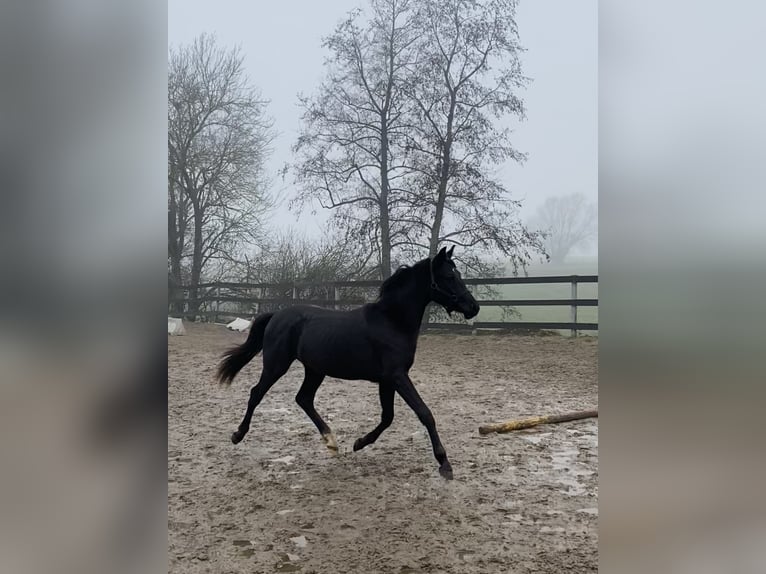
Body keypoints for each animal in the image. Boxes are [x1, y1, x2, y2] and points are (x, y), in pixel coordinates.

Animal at [216, 248, 480, 482]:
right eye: (449, 276)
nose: (474, 307)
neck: (391, 321)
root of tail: (276, 316)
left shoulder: (387, 380)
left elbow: (388, 417)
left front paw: (359, 443)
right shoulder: (397, 376)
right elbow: (424, 413)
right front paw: (445, 464)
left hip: (315, 370)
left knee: (303, 398)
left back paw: (331, 442)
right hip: (276, 365)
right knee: (256, 393)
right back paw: (238, 435)